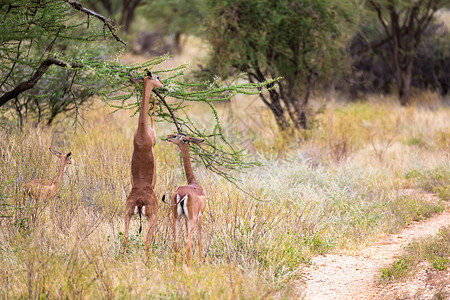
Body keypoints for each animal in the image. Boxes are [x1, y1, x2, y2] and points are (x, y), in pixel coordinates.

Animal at [164, 134, 207, 268]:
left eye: (176, 136)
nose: (168, 137)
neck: (194, 183)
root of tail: (181, 194)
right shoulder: (200, 216)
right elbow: (199, 241)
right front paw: (200, 263)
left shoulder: (185, 218)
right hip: (192, 219)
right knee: (188, 243)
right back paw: (189, 267)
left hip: (176, 218)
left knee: (176, 242)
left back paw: (174, 267)